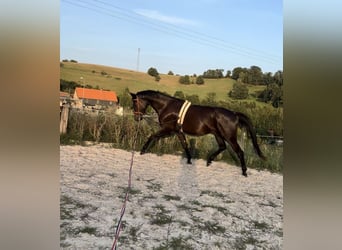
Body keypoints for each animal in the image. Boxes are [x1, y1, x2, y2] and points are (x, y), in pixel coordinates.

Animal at [130, 90, 266, 176]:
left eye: (135, 103)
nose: (136, 118)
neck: (167, 106)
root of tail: (234, 114)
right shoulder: (178, 131)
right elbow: (185, 145)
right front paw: (189, 160)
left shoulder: (168, 129)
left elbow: (152, 136)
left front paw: (142, 150)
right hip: (217, 134)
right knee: (222, 147)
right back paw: (209, 161)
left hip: (229, 136)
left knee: (239, 151)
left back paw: (244, 172)